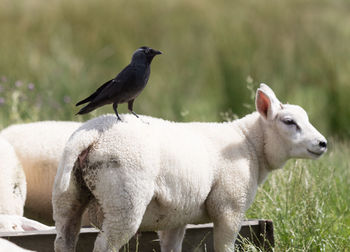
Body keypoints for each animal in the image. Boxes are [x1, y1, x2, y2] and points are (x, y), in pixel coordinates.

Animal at [53, 83, 326, 251]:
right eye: (289, 122)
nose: (322, 143)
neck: (250, 143)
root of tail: (91, 134)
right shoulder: (229, 207)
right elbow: (224, 246)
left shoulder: (176, 215)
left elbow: (172, 246)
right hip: (124, 200)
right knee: (105, 245)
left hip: (67, 196)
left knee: (64, 240)